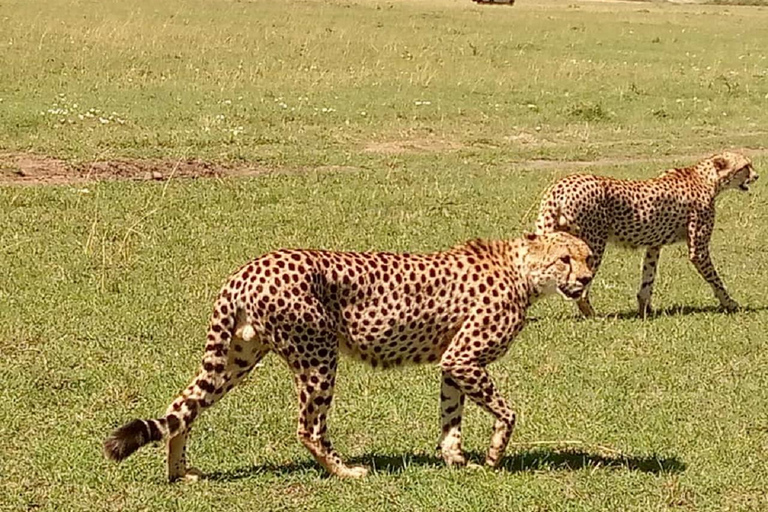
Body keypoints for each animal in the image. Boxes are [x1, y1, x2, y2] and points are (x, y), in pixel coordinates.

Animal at [102, 232, 592, 480]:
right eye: (566, 259)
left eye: (588, 257)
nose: (586, 279)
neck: (521, 270)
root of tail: (247, 268)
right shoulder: (465, 359)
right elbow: (508, 412)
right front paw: (492, 455)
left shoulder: (454, 363)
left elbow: (451, 416)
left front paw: (455, 459)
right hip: (318, 355)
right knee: (308, 427)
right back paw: (346, 472)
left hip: (236, 358)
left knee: (183, 408)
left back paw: (179, 473)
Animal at [536, 150, 760, 318]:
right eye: (745, 166)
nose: (756, 176)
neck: (706, 178)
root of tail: (559, 186)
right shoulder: (698, 249)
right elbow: (715, 278)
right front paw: (729, 303)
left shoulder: (654, 244)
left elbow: (648, 277)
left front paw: (645, 309)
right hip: (592, 244)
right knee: (581, 289)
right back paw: (593, 315)